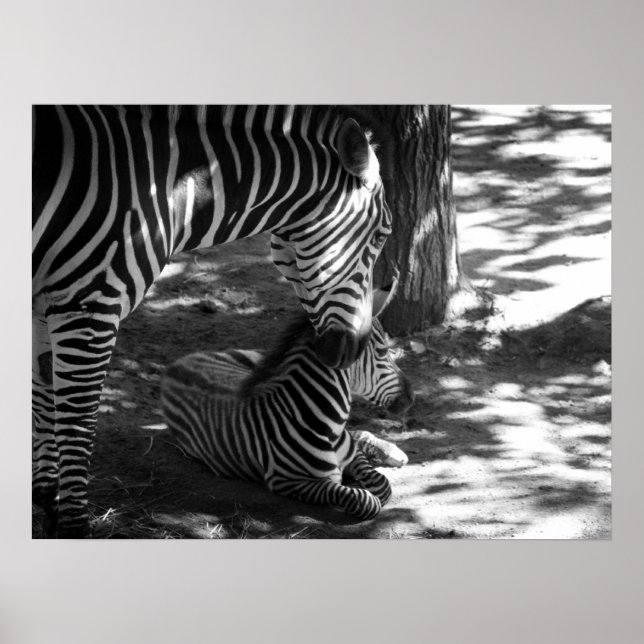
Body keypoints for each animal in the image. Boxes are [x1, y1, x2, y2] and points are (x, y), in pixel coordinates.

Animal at [160, 283, 415, 521]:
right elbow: (364, 500)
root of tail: (177, 363)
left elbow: (382, 484)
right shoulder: (289, 482)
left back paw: (391, 451)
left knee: (357, 433)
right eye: (382, 351)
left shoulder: (352, 456)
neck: (328, 428)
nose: (412, 397)